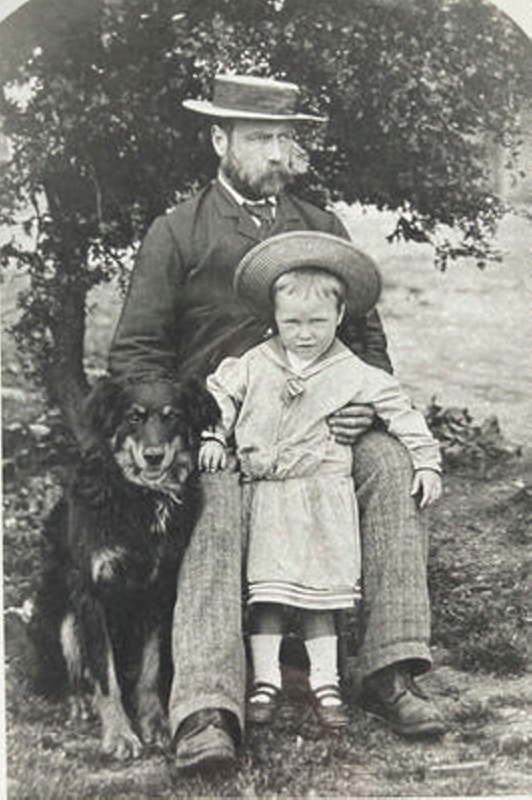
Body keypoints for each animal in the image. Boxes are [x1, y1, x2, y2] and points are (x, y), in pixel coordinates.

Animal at [29, 378, 220, 760]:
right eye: (134, 417)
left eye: (172, 417)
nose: (154, 456)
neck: (138, 497)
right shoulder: (91, 595)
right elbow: (106, 677)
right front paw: (119, 735)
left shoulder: (160, 591)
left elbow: (150, 670)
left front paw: (155, 724)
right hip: (60, 617)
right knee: (74, 673)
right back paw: (80, 703)